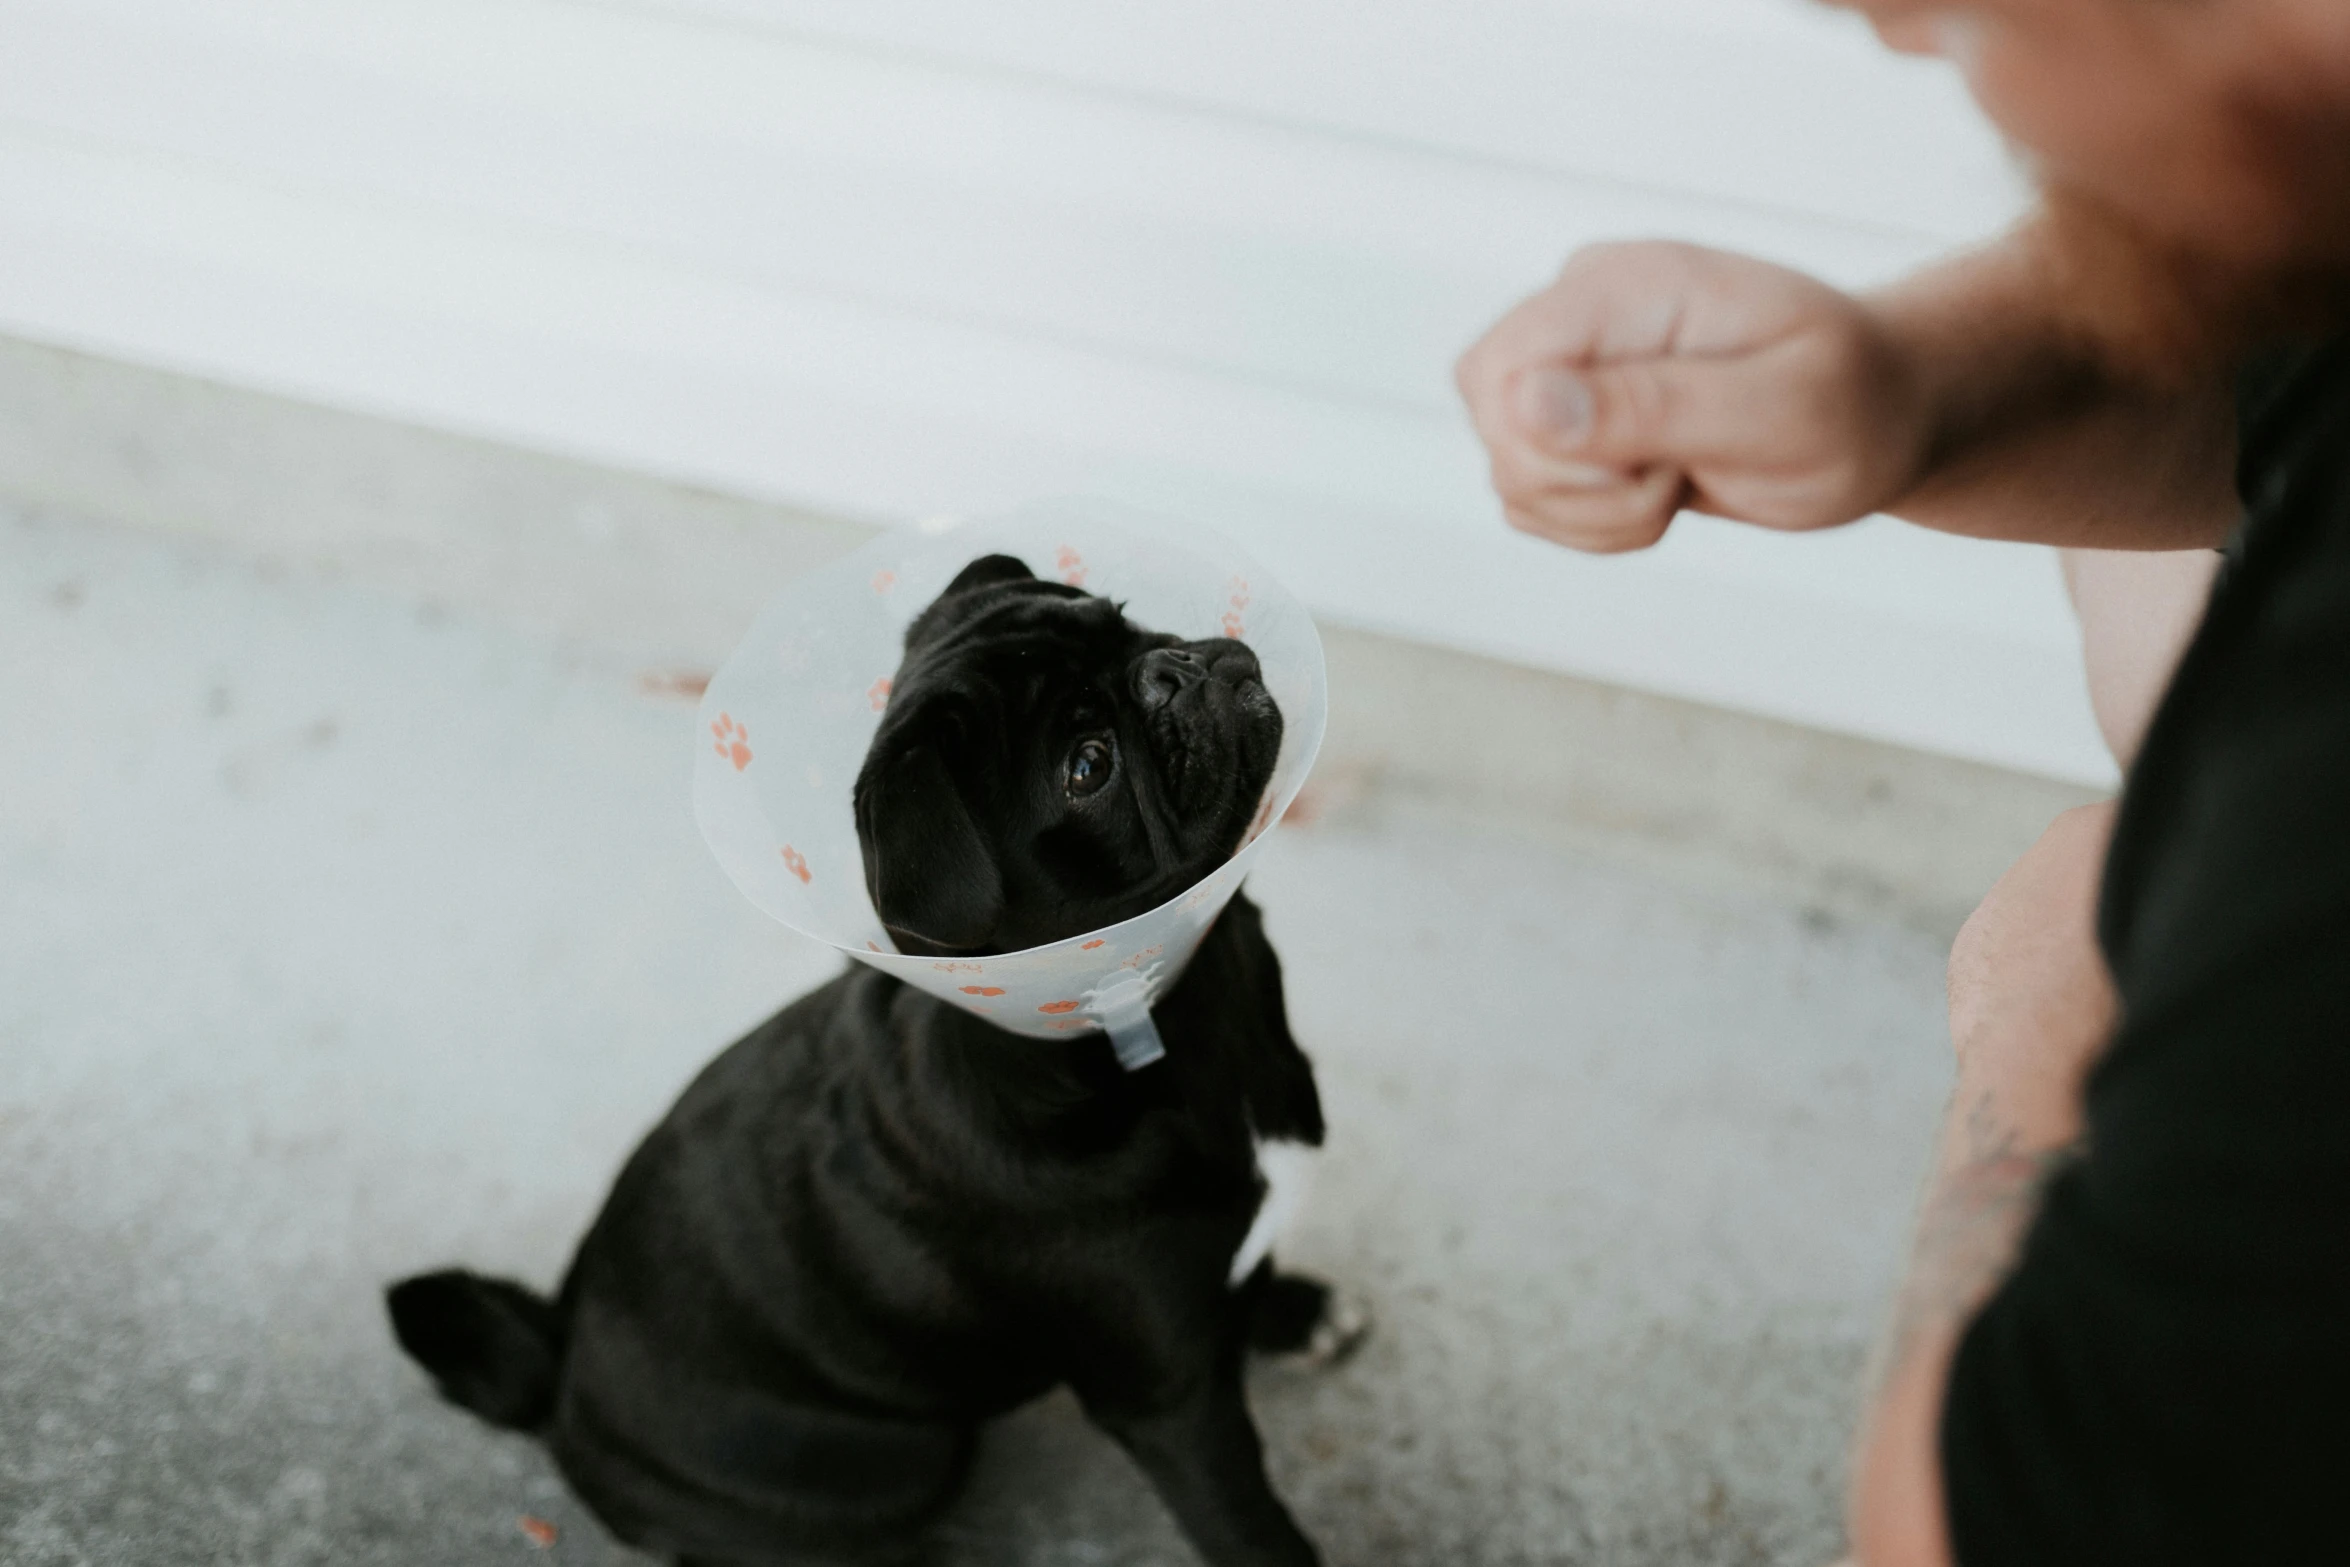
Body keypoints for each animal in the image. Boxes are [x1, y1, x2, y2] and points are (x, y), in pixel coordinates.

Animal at [390, 554, 1363, 1567]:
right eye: (1087, 766)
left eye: (1124, 619)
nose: (1172, 667)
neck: (1155, 1001)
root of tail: (561, 1369)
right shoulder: (1173, 1402)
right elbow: (1250, 1524)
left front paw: (1292, 1309)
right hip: (891, 1466)